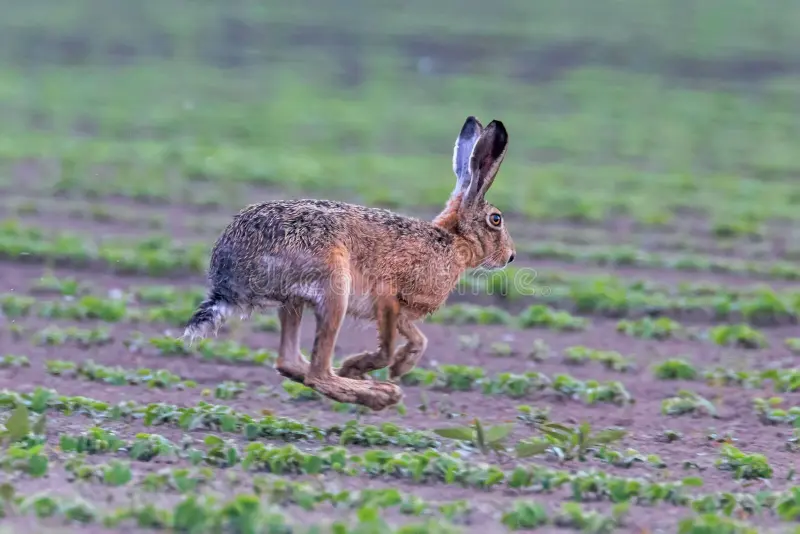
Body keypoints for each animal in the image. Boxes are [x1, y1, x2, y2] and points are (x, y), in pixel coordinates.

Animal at [183, 116, 515, 411]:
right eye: (496, 219)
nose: (510, 256)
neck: (451, 242)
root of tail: (227, 280)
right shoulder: (387, 296)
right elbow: (387, 347)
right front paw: (361, 367)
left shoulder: (404, 312)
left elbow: (418, 339)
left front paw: (400, 367)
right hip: (333, 285)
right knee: (317, 374)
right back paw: (379, 394)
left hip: (293, 301)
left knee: (289, 361)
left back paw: (370, 387)